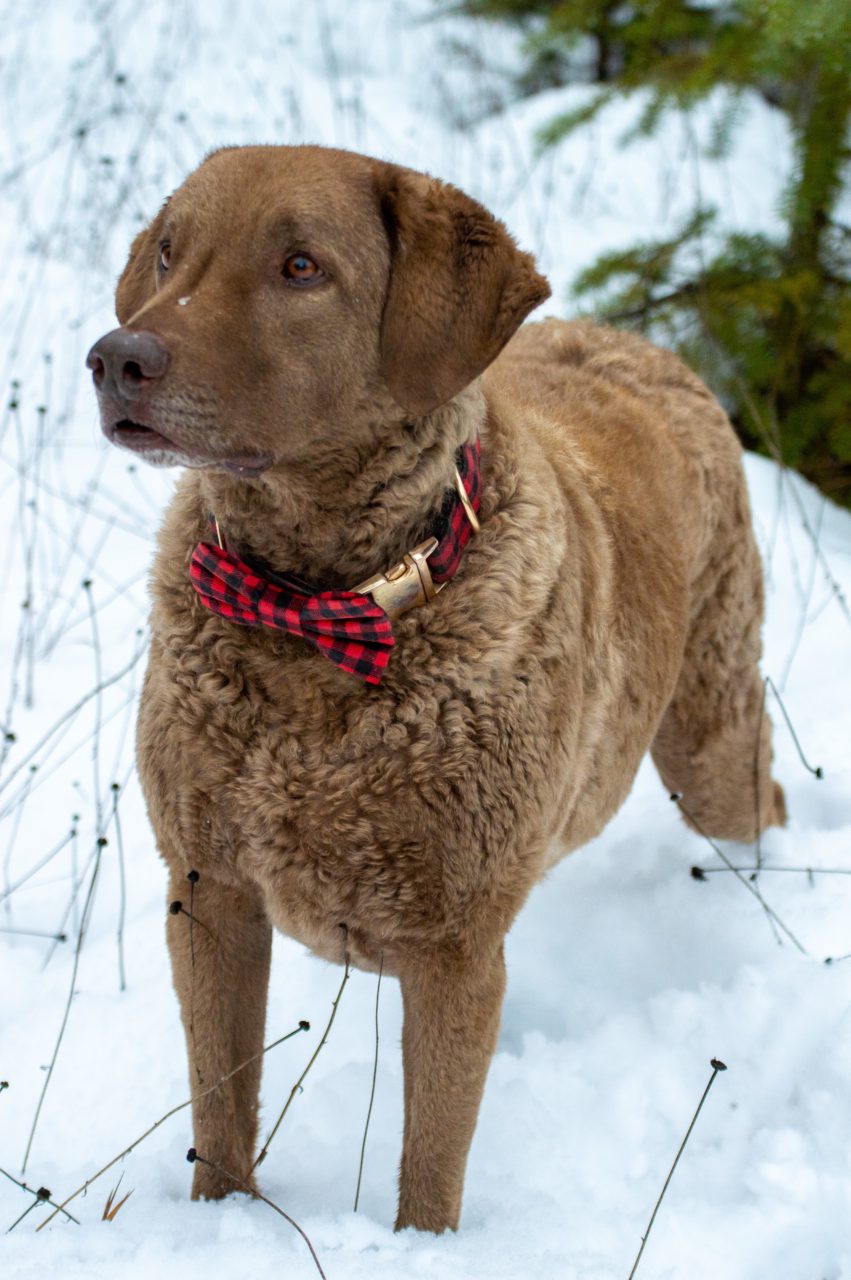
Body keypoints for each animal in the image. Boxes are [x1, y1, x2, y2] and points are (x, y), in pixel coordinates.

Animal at [86, 145, 783, 1233]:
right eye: (167, 250)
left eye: (300, 267)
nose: (117, 357)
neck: (312, 620)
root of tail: (638, 341)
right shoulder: (209, 889)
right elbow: (222, 1108)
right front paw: (221, 1223)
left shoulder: (456, 945)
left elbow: (429, 1166)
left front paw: (420, 1246)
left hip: (709, 734)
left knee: (759, 800)